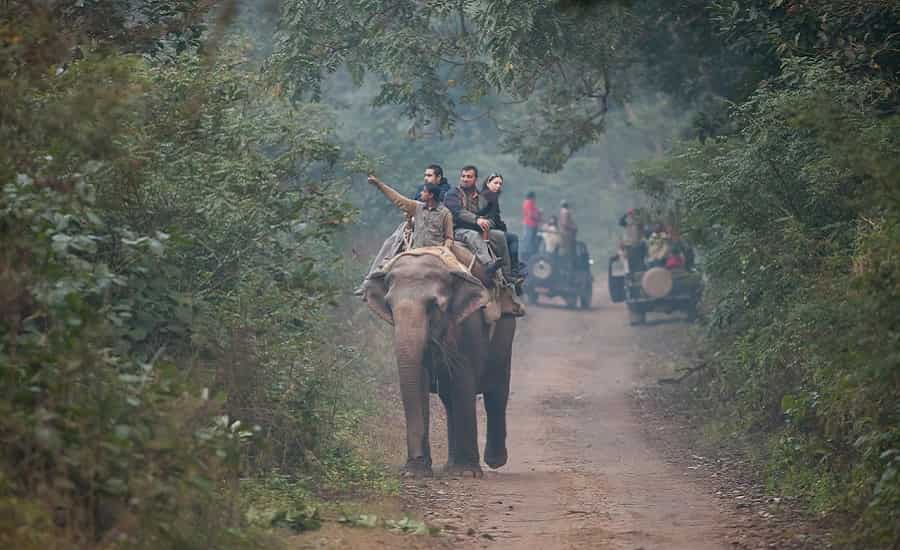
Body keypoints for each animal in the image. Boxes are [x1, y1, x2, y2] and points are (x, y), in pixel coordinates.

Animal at [364, 246, 516, 478]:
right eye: (389, 305)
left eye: (433, 305)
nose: (416, 456)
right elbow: (419, 378)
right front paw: (415, 472)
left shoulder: (469, 324)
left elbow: (463, 380)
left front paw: (466, 473)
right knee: (449, 400)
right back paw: (450, 466)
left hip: (506, 332)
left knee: (496, 392)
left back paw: (494, 461)